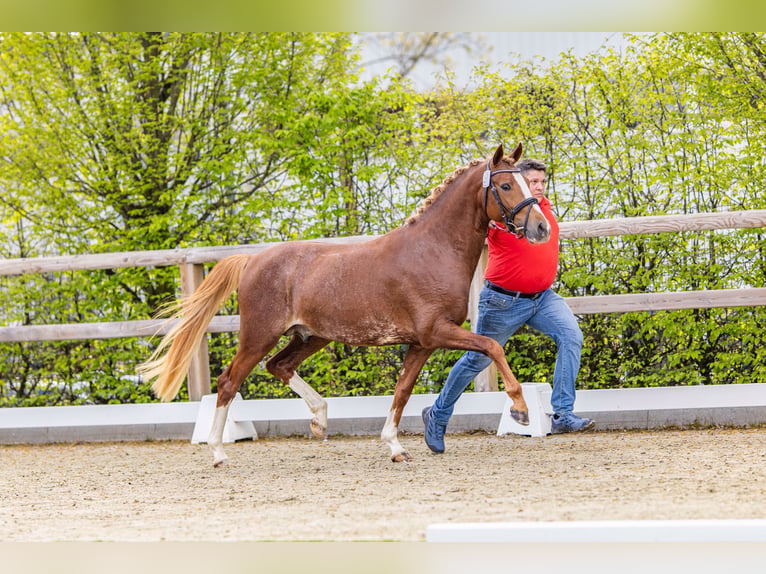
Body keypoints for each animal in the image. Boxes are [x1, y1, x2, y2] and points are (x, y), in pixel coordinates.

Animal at [137, 143, 551, 466]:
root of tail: (252, 260)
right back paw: (219, 452)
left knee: (279, 366)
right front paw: (520, 409)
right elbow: (493, 345)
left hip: (310, 336)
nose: (542, 228)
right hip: (259, 335)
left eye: (525, 182)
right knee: (229, 381)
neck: (432, 251)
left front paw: (395, 447)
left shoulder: (422, 343)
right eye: (504, 184)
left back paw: (320, 420)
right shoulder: (438, 332)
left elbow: (402, 391)